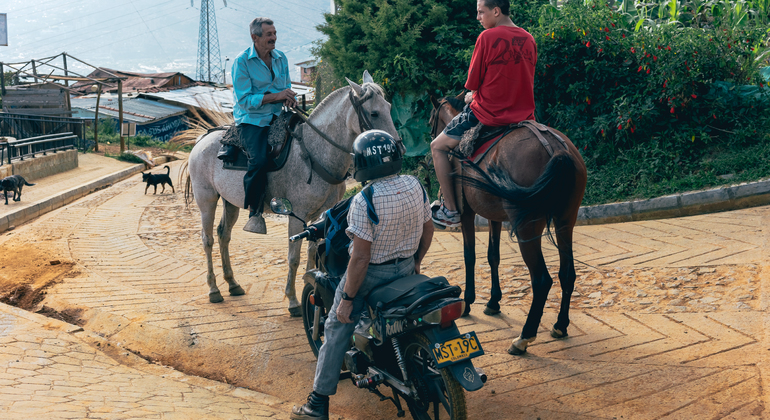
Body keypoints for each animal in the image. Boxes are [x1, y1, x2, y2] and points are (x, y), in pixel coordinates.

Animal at [181, 72, 396, 316]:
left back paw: (233, 284)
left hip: (230, 202)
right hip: (206, 199)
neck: (313, 153)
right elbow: (294, 257)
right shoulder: (297, 214)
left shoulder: (322, 215)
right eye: (374, 113)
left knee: (223, 235)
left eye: (389, 107)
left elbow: (312, 252)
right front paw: (293, 301)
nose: (398, 146)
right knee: (207, 239)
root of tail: (202, 140)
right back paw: (214, 289)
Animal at [428, 95, 584, 354]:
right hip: (565, 221)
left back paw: (524, 338)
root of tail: (557, 149)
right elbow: (493, 256)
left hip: (527, 227)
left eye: (431, 120)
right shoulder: (494, 217)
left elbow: (469, 256)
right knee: (567, 274)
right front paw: (493, 302)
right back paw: (560, 325)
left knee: (542, 280)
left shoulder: (467, 213)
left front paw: (468, 302)